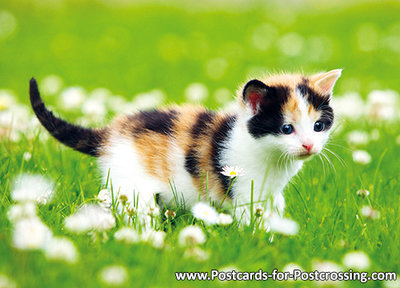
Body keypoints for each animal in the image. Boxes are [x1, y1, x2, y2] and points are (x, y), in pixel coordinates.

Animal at [29, 70, 340, 227]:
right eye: (287, 129)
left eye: (318, 126)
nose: (309, 145)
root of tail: (110, 133)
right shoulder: (243, 189)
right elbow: (248, 218)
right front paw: (256, 239)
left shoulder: (272, 193)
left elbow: (276, 208)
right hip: (132, 184)